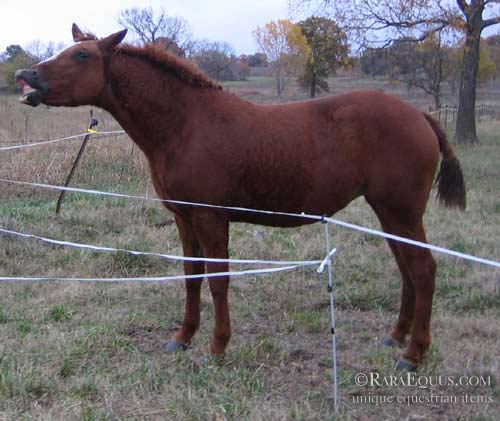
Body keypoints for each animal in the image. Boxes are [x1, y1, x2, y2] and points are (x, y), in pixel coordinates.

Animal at [17, 25, 466, 368]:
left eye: (82, 55)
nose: (26, 77)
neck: (187, 124)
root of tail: (420, 115)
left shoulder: (211, 217)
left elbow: (219, 280)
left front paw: (217, 347)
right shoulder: (184, 217)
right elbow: (192, 276)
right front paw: (183, 337)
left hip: (401, 211)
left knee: (423, 270)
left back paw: (413, 354)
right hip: (389, 213)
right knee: (406, 269)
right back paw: (396, 336)